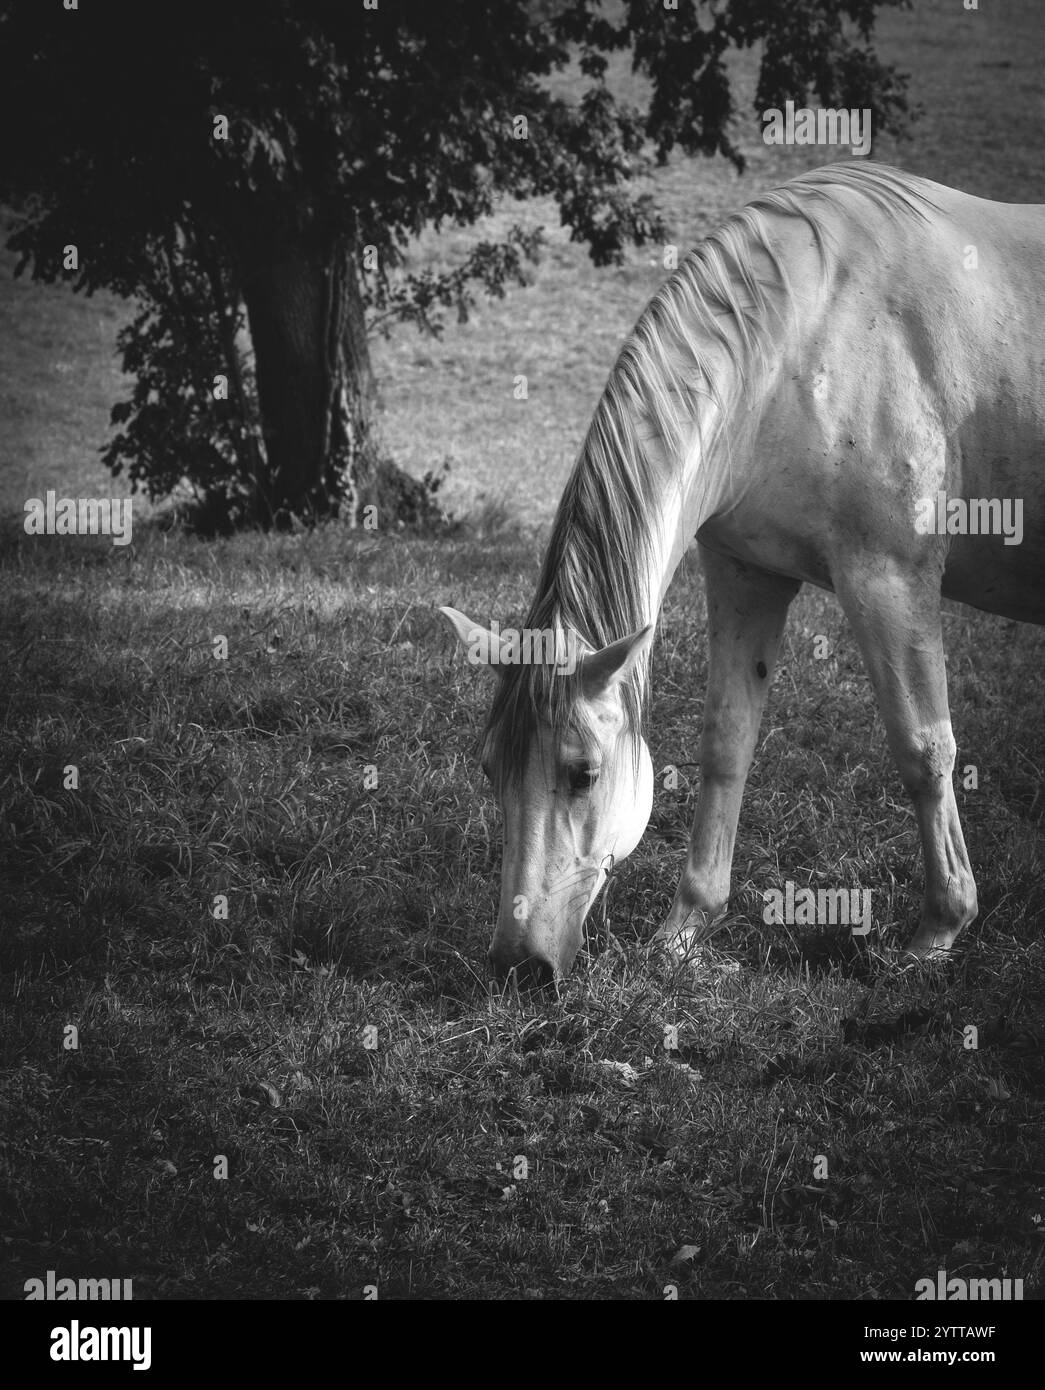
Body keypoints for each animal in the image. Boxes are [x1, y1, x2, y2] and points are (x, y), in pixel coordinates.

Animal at [439, 159, 1039, 989]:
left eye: (583, 773)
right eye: (488, 767)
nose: (515, 966)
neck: (808, 333)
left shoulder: (890, 578)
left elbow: (925, 750)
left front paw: (937, 931)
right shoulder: (745, 575)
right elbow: (726, 746)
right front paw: (684, 930)